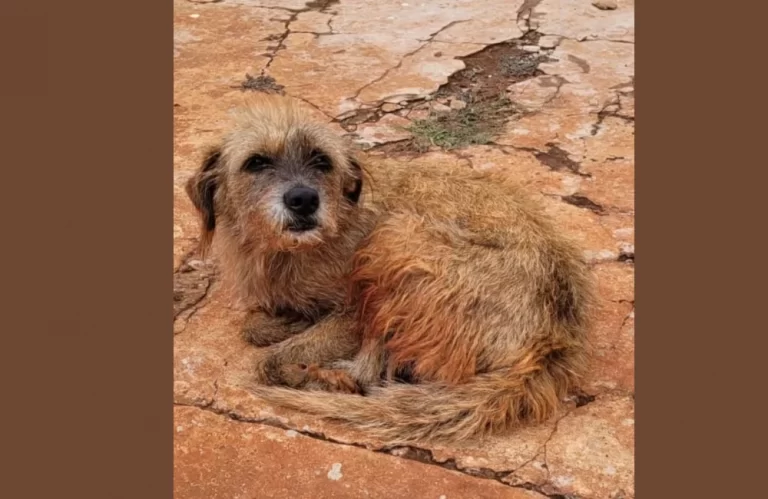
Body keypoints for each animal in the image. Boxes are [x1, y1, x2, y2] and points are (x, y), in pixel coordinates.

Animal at [186, 94, 592, 446]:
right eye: (256, 162)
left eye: (322, 161)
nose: (303, 200)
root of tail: (551, 339)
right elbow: (252, 325)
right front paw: (283, 321)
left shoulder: (351, 313)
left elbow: (270, 356)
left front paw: (293, 343)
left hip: (395, 237)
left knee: (369, 372)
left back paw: (325, 380)